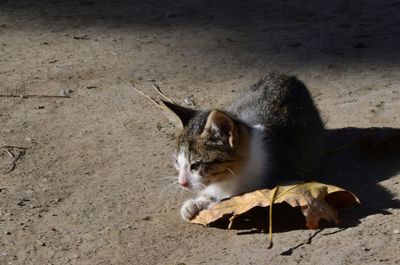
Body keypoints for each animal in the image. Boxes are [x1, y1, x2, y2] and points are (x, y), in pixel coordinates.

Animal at [161, 71, 324, 219]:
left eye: (196, 164)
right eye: (177, 162)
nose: (181, 183)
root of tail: (287, 77)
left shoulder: (289, 180)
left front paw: (209, 203)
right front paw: (196, 203)